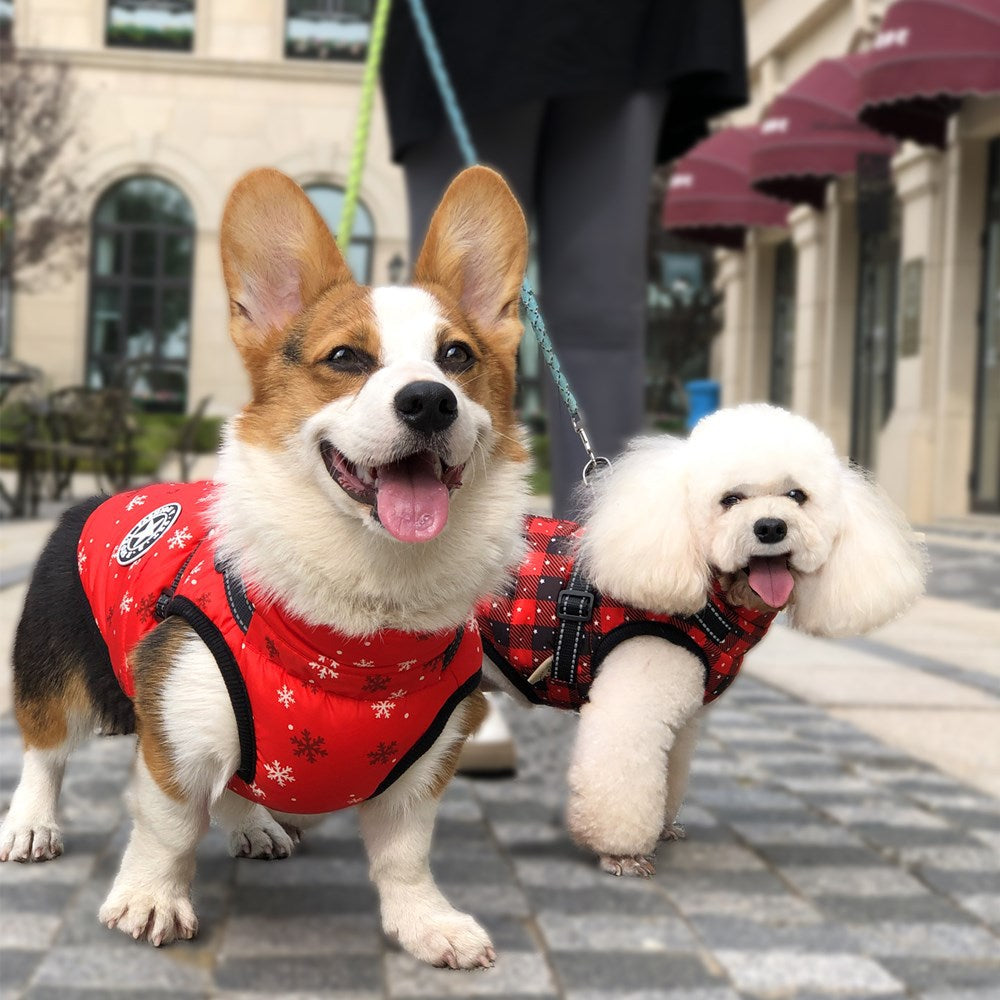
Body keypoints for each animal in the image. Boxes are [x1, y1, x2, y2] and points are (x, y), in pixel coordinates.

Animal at [1, 166, 532, 968]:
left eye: (458, 358)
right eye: (345, 358)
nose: (429, 402)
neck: (360, 639)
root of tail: (101, 493)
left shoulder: (423, 769)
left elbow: (406, 856)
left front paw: (427, 923)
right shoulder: (178, 727)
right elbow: (167, 826)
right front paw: (151, 898)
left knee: (238, 783)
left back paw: (252, 824)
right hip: (53, 665)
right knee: (46, 749)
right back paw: (31, 823)